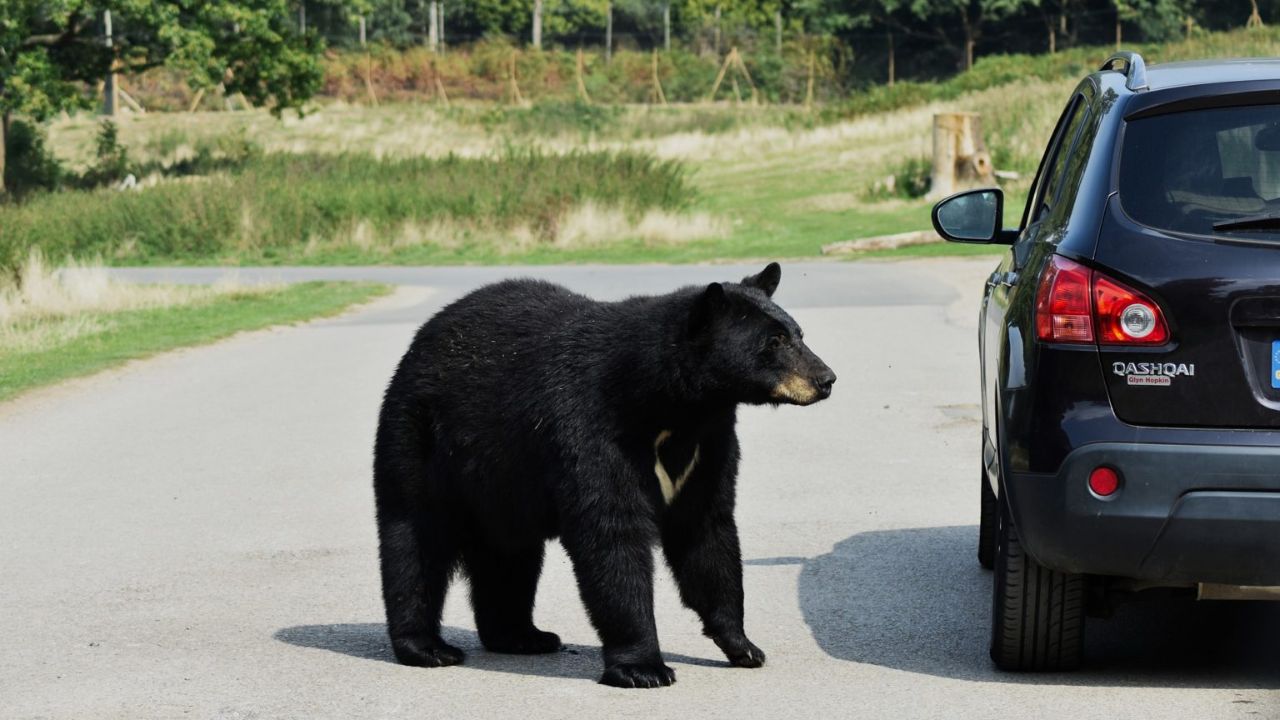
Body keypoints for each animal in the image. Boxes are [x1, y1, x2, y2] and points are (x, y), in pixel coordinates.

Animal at [373, 262, 829, 681]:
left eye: (799, 334)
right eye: (774, 341)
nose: (827, 379)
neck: (672, 406)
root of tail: (421, 339)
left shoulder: (708, 446)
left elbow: (707, 532)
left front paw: (743, 646)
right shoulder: (593, 427)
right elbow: (612, 534)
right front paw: (644, 667)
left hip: (503, 481)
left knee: (510, 556)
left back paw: (522, 636)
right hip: (419, 438)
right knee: (414, 539)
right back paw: (427, 647)